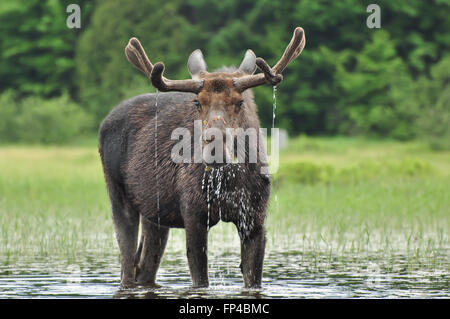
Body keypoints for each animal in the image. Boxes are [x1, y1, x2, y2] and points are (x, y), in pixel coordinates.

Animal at [98, 26, 306, 288]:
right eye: (197, 102)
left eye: (239, 102)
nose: (214, 145)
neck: (231, 181)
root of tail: (104, 122)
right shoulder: (194, 214)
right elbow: (200, 279)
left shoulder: (255, 219)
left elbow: (253, 278)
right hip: (118, 194)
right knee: (127, 266)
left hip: (154, 213)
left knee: (144, 267)